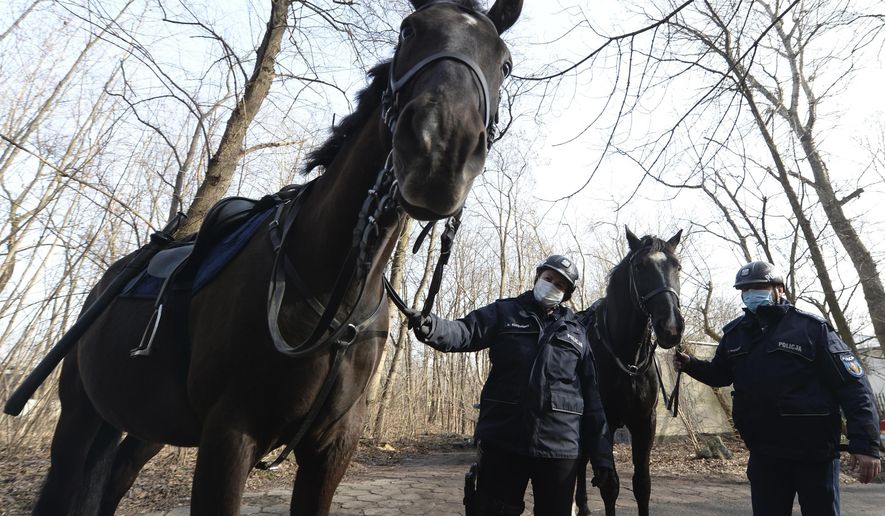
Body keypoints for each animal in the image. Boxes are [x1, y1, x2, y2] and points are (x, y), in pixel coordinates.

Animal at [29, 1, 523, 514]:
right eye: (409, 32)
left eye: (505, 63)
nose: (440, 150)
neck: (330, 293)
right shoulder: (229, 437)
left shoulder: (332, 449)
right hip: (79, 417)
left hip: (143, 425)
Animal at [575, 227, 684, 516]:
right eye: (639, 266)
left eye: (677, 266)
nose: (671, 327)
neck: (628, 361)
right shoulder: (606, 424)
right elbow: (610, 486)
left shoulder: (644, 422)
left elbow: (642, 484)